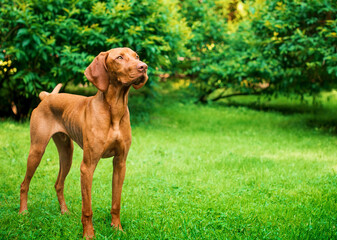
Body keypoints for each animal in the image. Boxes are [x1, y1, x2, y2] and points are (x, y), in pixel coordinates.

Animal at [19, 47, 148, 238]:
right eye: (119, 57)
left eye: (137, 56)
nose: (144, 67)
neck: (114, 110)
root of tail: (47, 97)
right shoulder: (87, 167)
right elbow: (87, 208)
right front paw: (88, 235)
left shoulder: (120, 163)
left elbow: (116, 203)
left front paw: (117, 229)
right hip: (37, 150)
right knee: (24, 184)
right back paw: (23, 212)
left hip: (67, 154)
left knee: (58, 184)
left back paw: (64, 212)